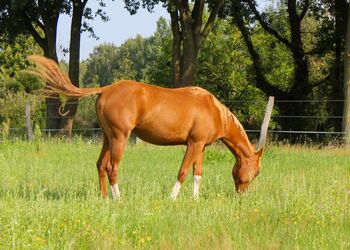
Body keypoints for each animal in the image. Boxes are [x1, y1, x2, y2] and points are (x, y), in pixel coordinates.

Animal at [28, 54, 270, 199]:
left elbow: (197, 173)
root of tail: (105, 89)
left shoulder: (201, 147)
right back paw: (118, 199)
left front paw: (195, 200)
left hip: (107, 138)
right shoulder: (193, 144)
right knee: (112, 168)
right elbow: (183, 172)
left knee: (100, 165)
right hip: (119, 138)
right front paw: (172, 199)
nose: (242, 195)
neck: (213, 110)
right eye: (257, 171)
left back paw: (105, 198)